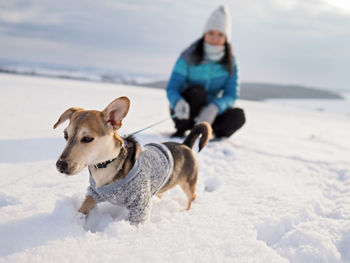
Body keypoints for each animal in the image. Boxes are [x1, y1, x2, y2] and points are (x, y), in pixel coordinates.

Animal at [52, 97, 211, 225]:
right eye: (65, 135)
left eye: (87, 139)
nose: (60, 164)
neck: (106, 165)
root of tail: (185, 144)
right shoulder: (94, 192)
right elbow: (84, 207)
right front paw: (75, 221)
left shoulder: (140, 204)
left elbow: (136, 222)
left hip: (188, 182)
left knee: (192, 196)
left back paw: (187, 211)